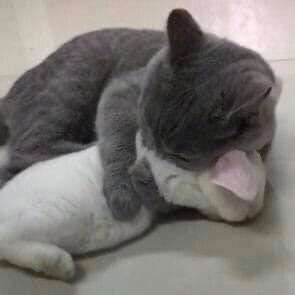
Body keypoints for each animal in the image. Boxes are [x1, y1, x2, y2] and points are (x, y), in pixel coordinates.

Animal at [0, 8, 282, 220]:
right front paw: (123, 193)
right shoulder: (121, 89)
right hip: (72, 86)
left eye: (181, 156)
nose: (151, 149)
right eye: (144, 122)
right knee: (27, 149)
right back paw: (88, 145)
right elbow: (119, 141)